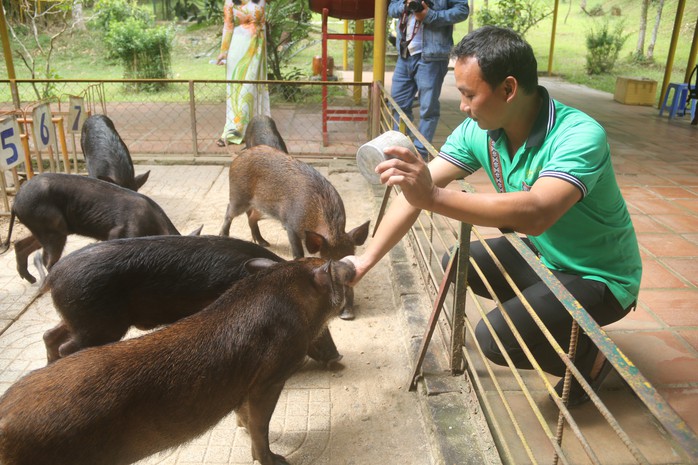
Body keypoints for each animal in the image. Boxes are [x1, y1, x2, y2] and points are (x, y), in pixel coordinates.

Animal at [0, 173, 185, 282]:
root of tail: (15, 202)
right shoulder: (119, 232)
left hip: (45, 228)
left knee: (20, 243)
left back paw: (30, 280)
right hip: (51, 228)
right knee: (48, 261)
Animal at [0, 258, 356, 464]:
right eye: (329, 265)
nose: (350, 264)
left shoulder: (244, 389)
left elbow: (244, 417)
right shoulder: (267, 380)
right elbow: (259, 426)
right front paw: (277, 460)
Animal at [40, 236, 340, 366]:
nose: (338, 356)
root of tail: (54, 275)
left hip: (77, 317)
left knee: (49, 335)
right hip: (97, 324)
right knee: (66, 345)